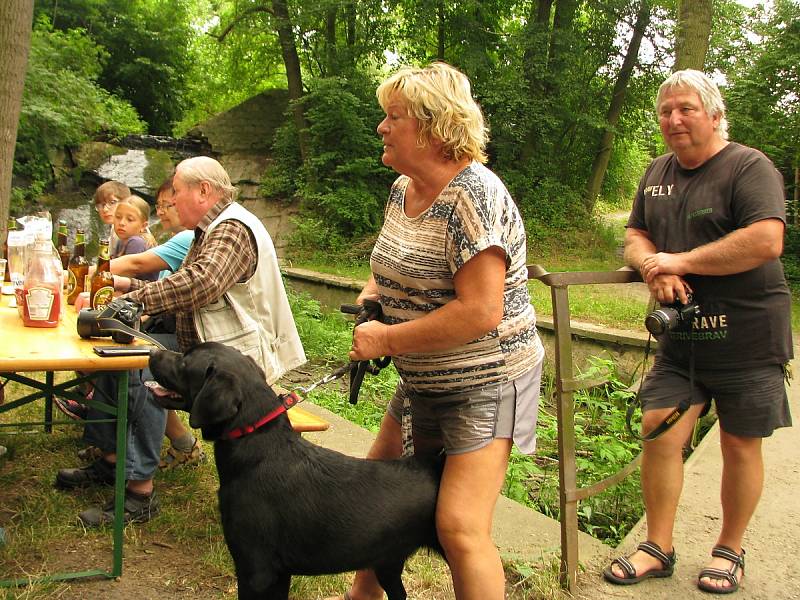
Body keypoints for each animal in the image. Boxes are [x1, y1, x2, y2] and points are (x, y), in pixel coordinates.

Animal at [150, 342, 444, 600]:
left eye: (185, 361)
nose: (152, 352)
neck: (259, 444)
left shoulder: (256, 571)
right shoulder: (278, 575)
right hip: (387, 563)